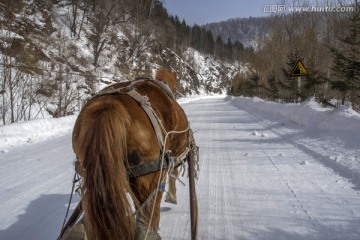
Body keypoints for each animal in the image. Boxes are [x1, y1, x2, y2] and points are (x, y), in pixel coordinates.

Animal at [71, 68, 193, 239]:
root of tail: (111, 106)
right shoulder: (176, 151)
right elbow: (174, 172)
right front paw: (172, 197)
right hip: (149, 180)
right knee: (147, 224)